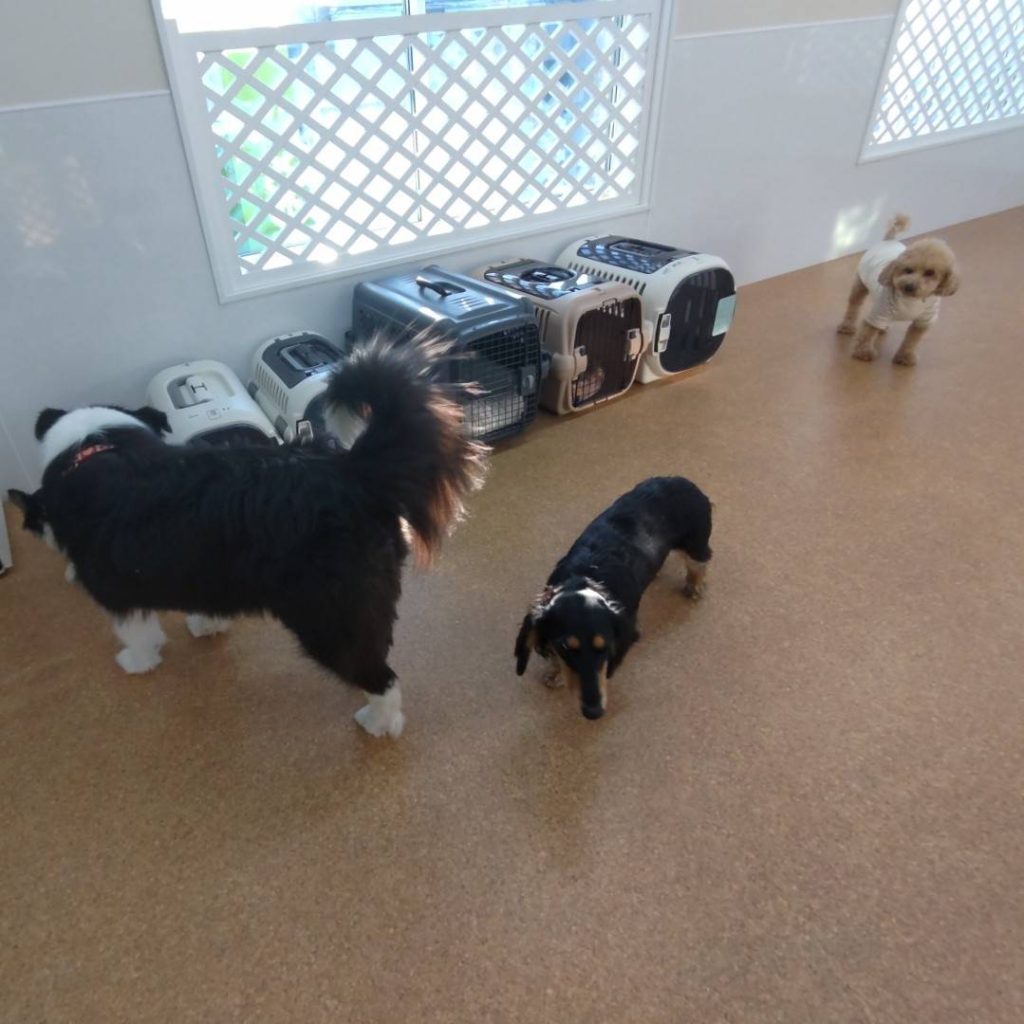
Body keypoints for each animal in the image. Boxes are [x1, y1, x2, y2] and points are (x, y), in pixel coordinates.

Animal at [8, 337, 486, 739]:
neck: (91, 447)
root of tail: (351, 470)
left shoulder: (116, 589)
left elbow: (137, 633)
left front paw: (137, 663)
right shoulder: (203, 569)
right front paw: (206, 626)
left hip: (328, 617)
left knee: (381, 676)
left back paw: (378, 722)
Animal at [514, 476, 712, 720]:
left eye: (605, 647)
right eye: (566, 647)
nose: (593, 713)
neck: (586, 576)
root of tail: (683, 480)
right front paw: (556, 672)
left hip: (695, 543)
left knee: (699, 564)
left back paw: (694, 586)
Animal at [837, 213, 960, 365]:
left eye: (930, 273)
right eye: (908, 270)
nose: (909, 286)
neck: (912, 300)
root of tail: (889, 240)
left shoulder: (923, 321)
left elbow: (912, 340)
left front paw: (905, 356)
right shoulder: (878, 313)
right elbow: (868, 332)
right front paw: (864, 352)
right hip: (860, 285)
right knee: (854, 306)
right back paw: (847, 326)